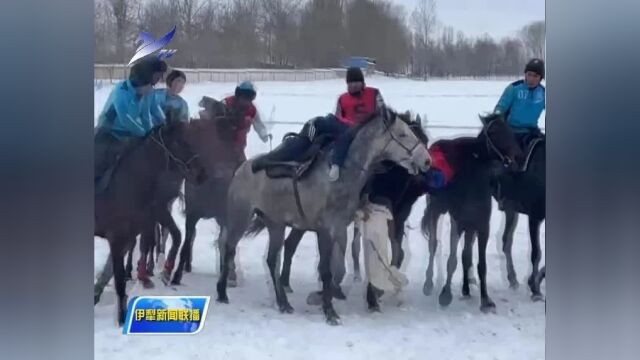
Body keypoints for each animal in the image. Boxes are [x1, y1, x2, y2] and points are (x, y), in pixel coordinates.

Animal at [94, 121, 208, 326]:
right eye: (179, 142)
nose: (202, 174)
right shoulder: (117, 239)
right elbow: (119, 281)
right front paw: (122, 318)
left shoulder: (135, 232)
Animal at [215, 107, 430, 326]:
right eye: (402, 134)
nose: (426, 160)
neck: (340, 175)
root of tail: (242, 168)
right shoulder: (325, 230)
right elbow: (326, 270)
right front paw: (330, 312)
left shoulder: (340, 228)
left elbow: (335, 269)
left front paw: (327, 300)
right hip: (240, 218)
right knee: (229, 248)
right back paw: (222, 292)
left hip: (276, 224)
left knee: (271, 259)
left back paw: (283, 303)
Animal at [420, 114, 524, 314]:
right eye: (493, 132)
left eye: (509, 130)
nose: (517, 158)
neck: (473, 182)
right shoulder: (458, 222)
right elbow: (453, 259)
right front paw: (445, 295)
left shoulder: (482, 225)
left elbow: (478, 263)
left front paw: (486, 300)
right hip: (437, 211)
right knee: (432, 245)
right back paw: (428, 283)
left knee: (465, 253)